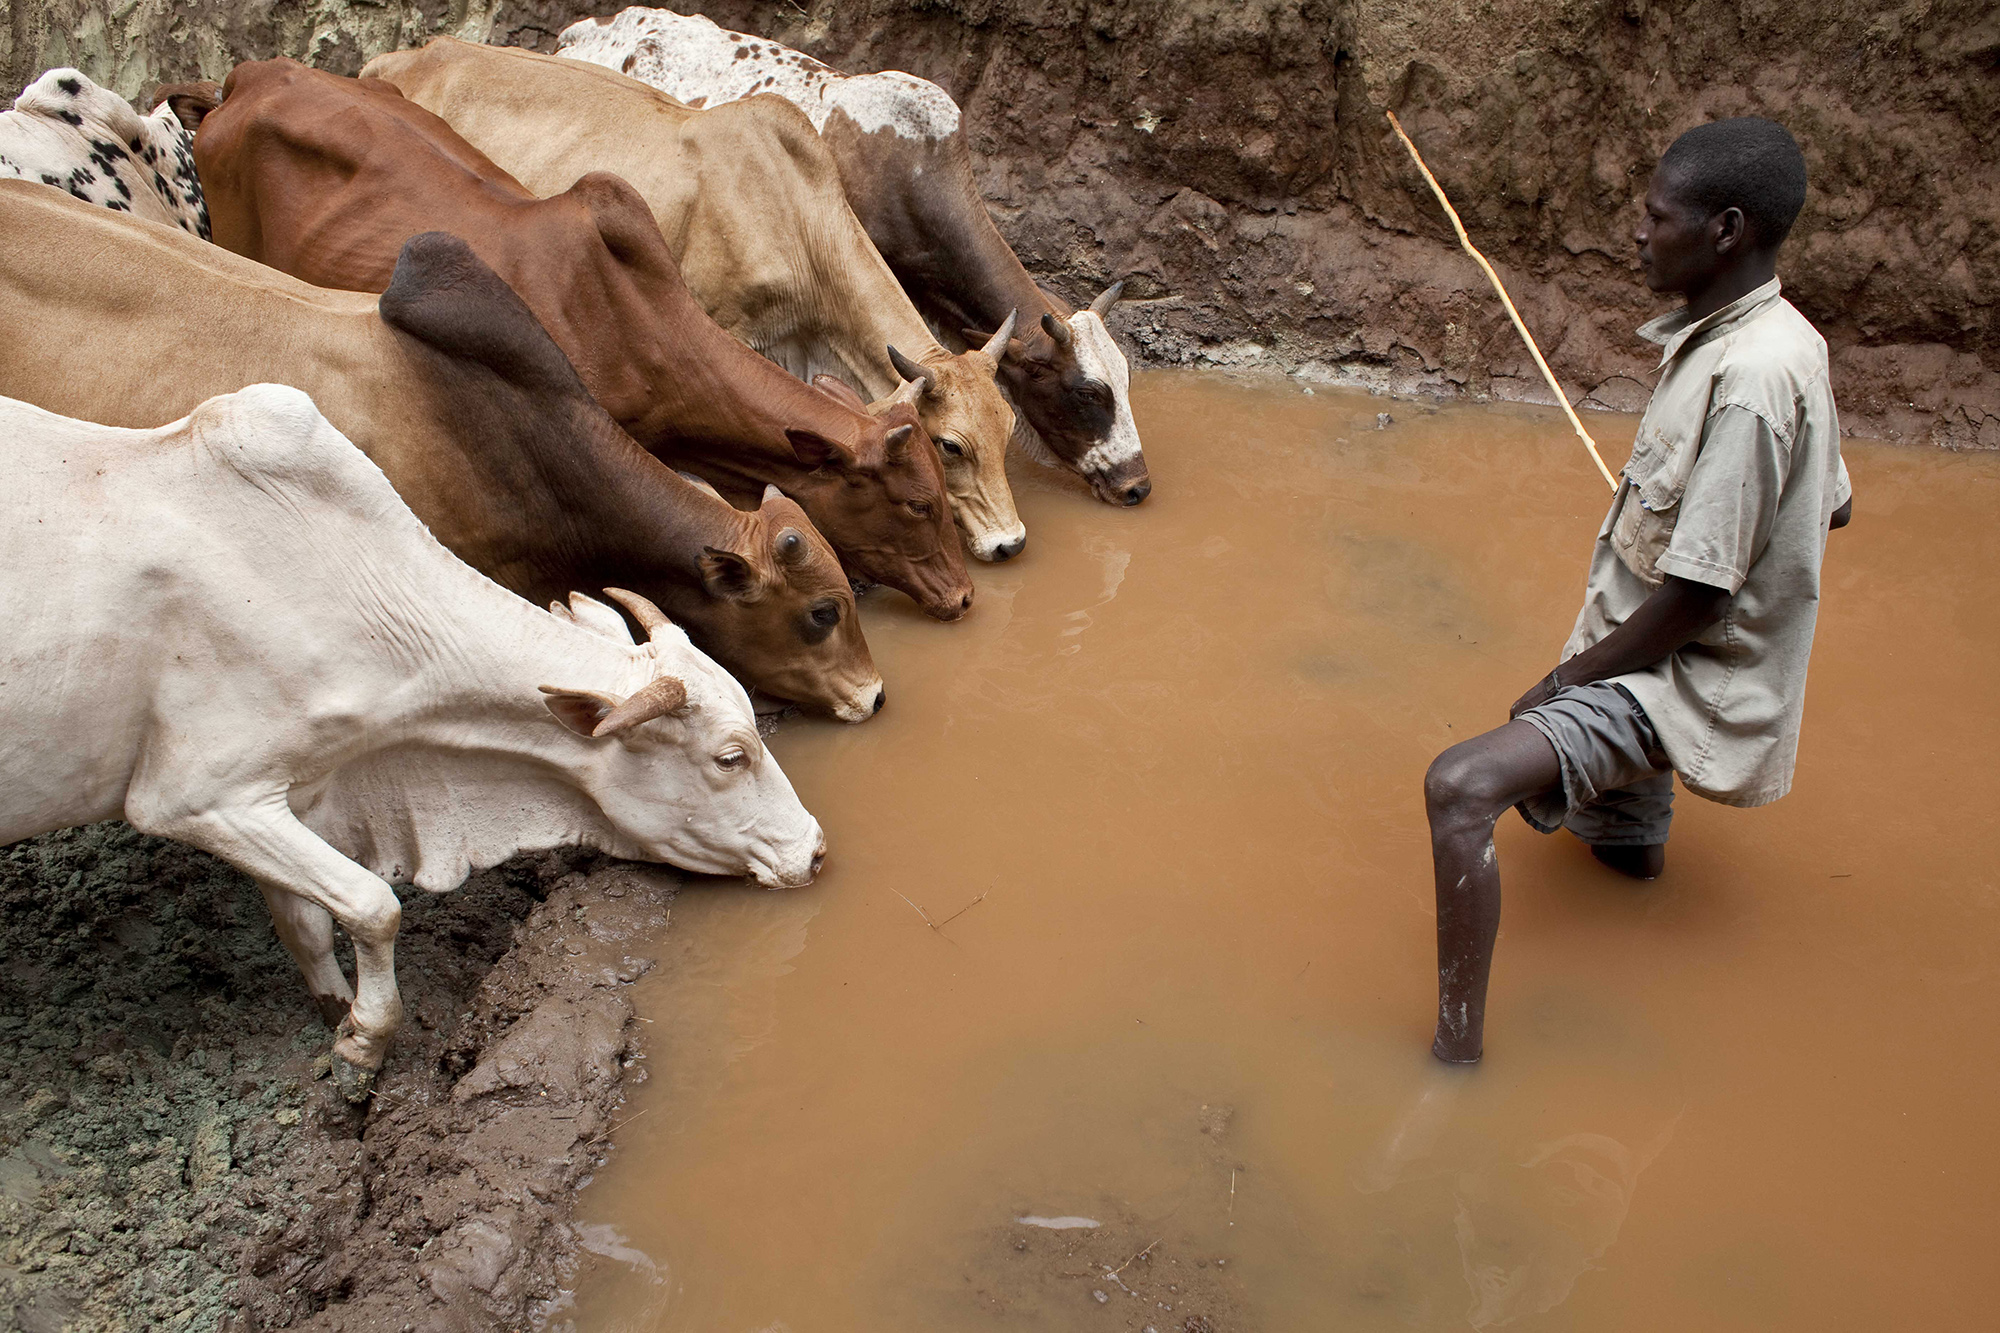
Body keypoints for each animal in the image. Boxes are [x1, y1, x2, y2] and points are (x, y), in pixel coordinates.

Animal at [1, 382, 820, 1088]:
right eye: (730, 755)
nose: (814, 851)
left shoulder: (280, 795)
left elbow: (305, 920)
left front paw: (335, 1010)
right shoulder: (194, 797)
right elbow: (374, 904)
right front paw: (365, 1041)